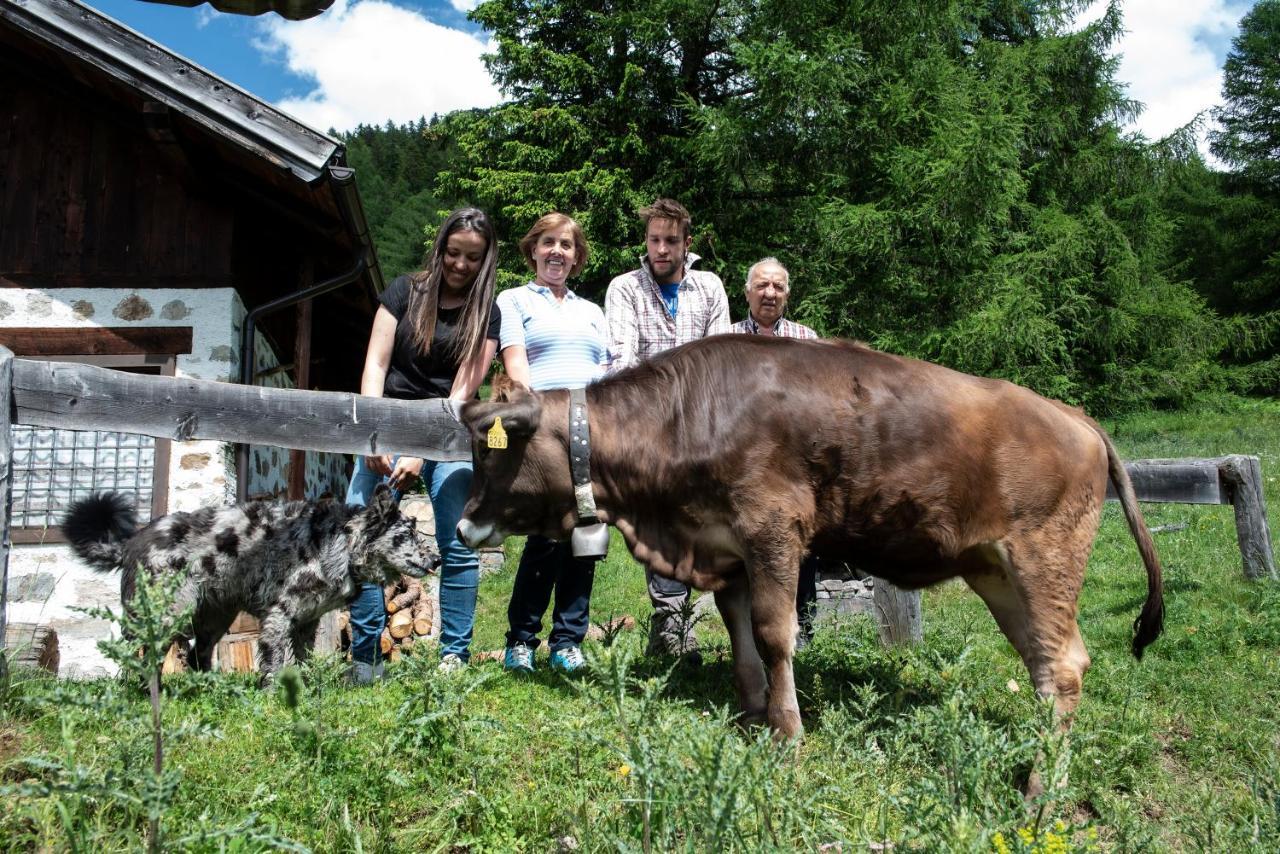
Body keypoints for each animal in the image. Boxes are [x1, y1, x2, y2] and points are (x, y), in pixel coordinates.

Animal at [64, 486, 435, 681]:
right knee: (135, 655)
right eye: (405, 535)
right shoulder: (278, 617)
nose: (436, 560)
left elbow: (301, 662)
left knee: (197, 655)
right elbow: (275, 663)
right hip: (166, 614)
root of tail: (131, 543)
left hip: (214, 617)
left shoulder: (307, 621)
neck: (340, 541)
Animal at [455, 332, 1167, 742]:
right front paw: (750, 713)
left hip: (1045, 557)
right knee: (1043, 659)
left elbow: (775, 633)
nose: (463, 523)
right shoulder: (726, 547)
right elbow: (740, 631)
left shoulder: (773, 529)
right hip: (996, 567)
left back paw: (1041, 783)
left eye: (493, 451)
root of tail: (1074, 415)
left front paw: (788, 731)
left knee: (1065, 664)